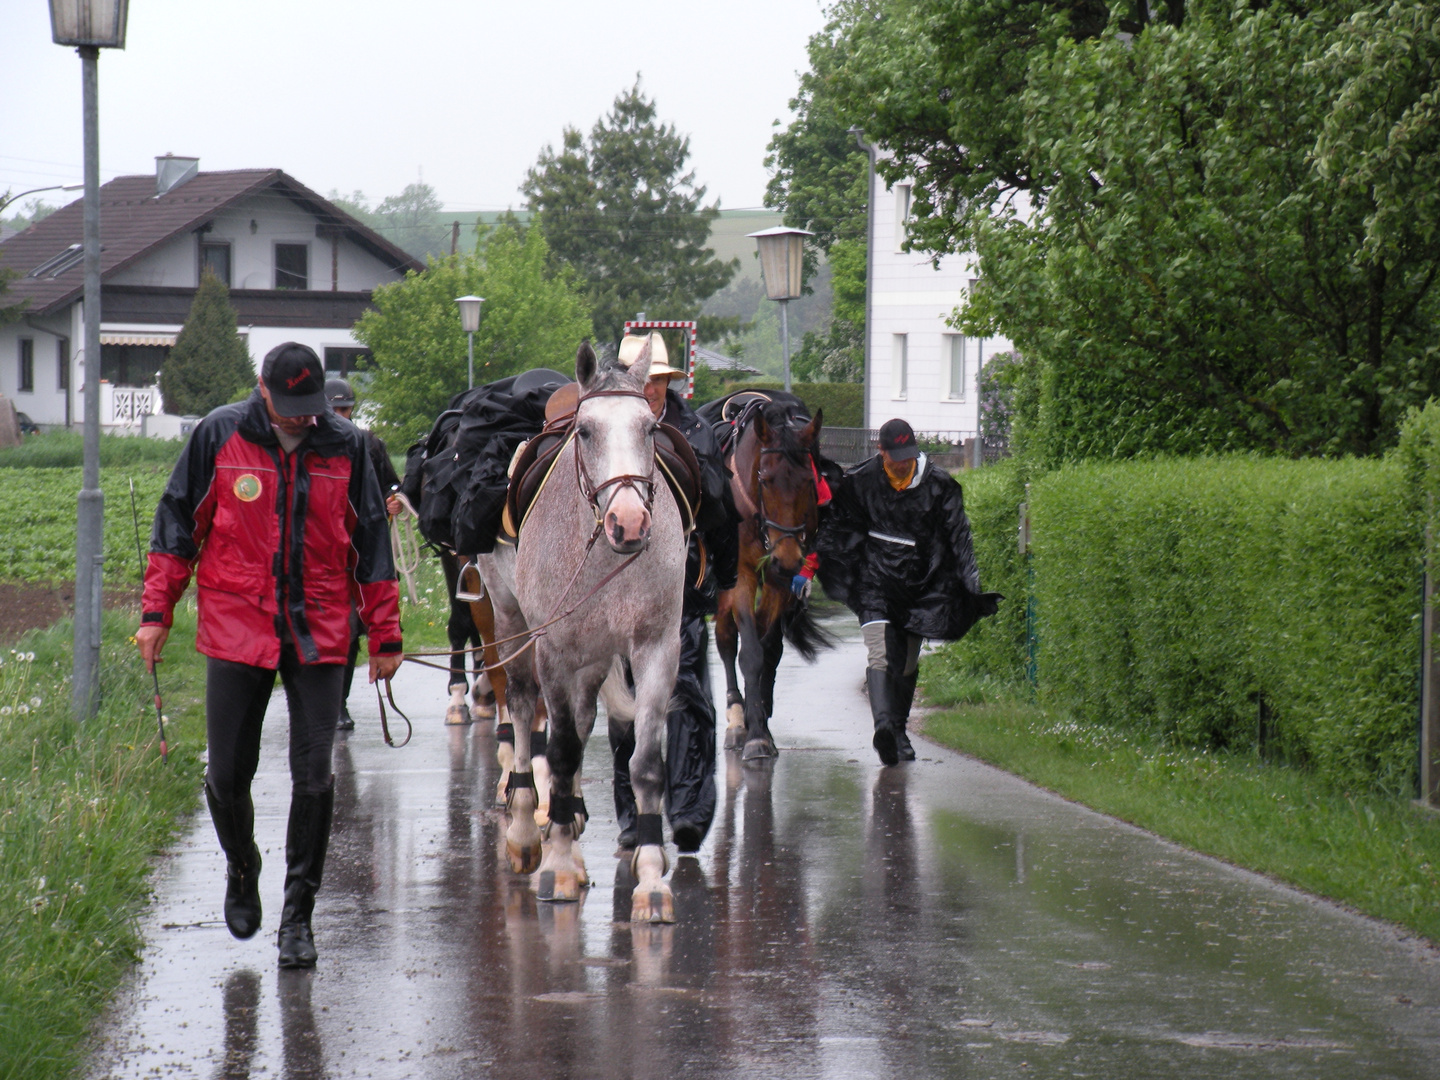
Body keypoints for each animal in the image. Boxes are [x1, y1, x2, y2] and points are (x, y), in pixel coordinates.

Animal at [478, 342, 685, 927]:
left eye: (649, 428)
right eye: (587, 432)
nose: (629, 522)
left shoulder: (656, 647)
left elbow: (646, 765)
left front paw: (651, 880)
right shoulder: (554, 650)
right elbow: (564, 751)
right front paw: (557, 867)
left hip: (594, 658)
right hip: (511, 622)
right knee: (523, 706)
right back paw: (529, 830)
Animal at [708, 394, 835, 760]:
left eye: (810, 481)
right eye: (765, 479)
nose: (787, 558)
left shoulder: (782, 582)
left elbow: (768, 649)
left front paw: (761, 722)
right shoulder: (741, 576)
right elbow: (749, 652)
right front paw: (753, 734)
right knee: (725, 638)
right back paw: (737, 718)